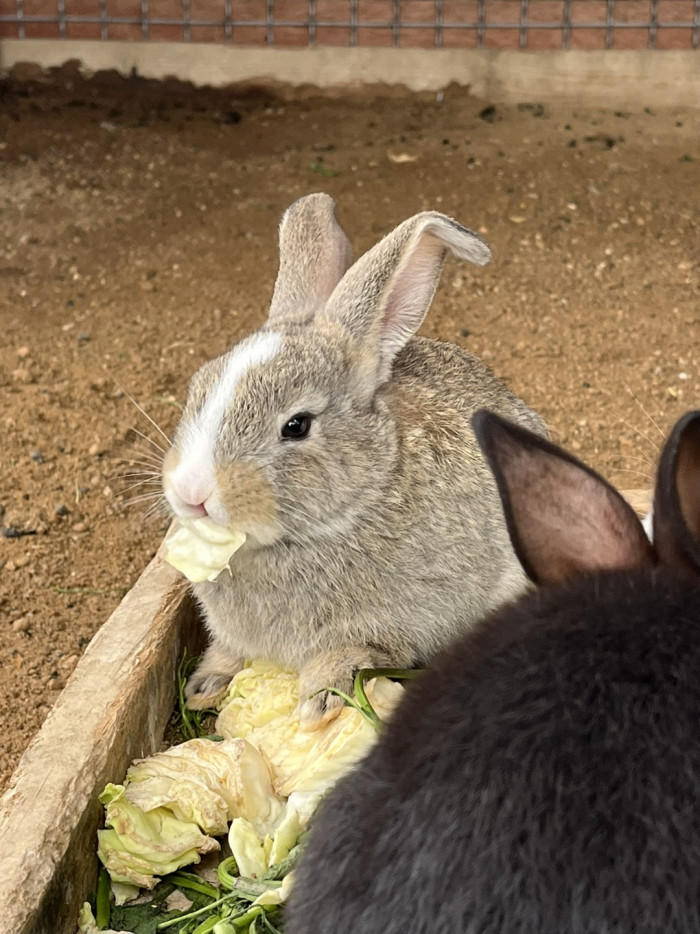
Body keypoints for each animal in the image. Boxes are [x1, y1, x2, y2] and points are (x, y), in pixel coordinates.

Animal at [164, 194, 548, 728]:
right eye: (197, 388)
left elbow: (352, 652)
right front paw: (205, 687)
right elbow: (227, 651)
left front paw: (318, 703)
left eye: (297, 425)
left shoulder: (392, 623)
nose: (191, 493)